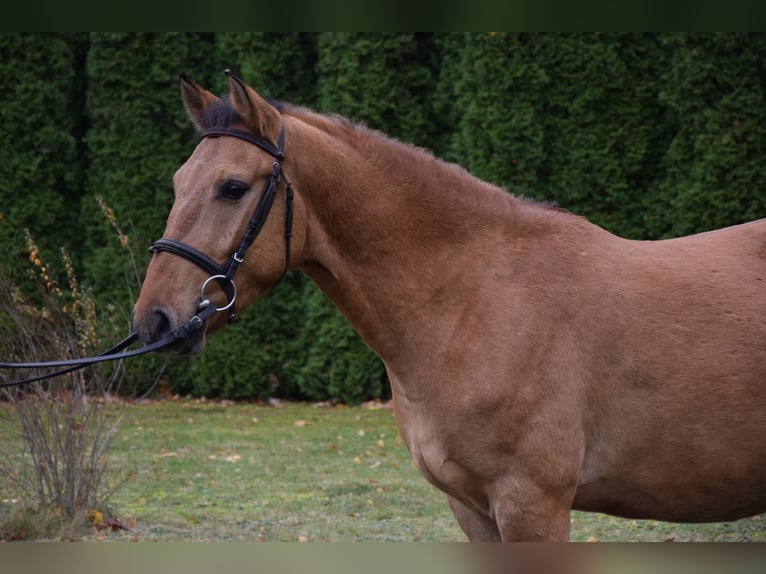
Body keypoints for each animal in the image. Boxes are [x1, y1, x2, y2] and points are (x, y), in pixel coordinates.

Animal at [133, 71, 766, 541]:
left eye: (233, 187)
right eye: (178, 182)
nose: (154, 320)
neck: (473, 300)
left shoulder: (532, 505)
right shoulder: (473, 509)